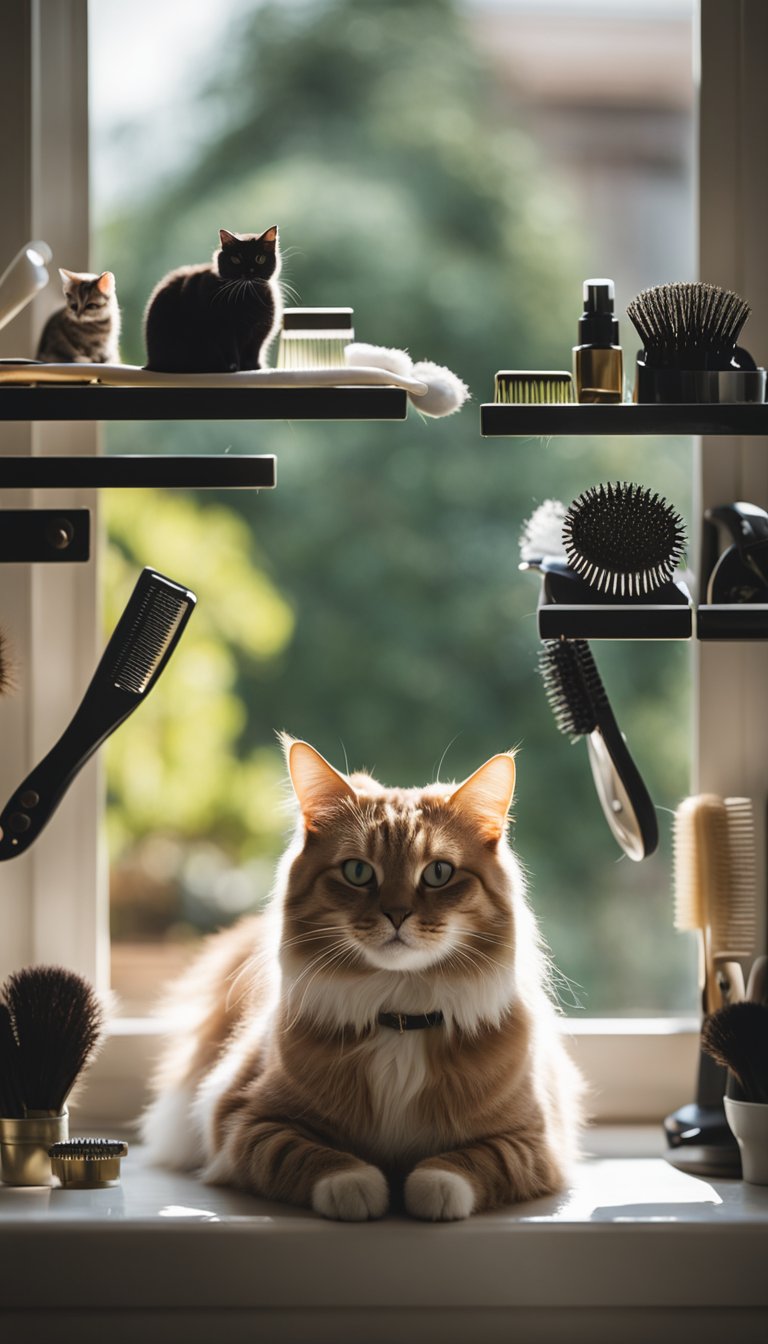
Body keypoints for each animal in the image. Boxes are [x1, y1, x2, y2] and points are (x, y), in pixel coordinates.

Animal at [141, 741, 583, 1225]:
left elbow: (464, 1164)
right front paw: (356, 1185)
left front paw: (430, 1188)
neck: (401, 1020)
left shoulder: (533, 1140)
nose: (396, 913)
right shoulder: (244, 1121)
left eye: (438, 873)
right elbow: (305, 1154)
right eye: (358, 872)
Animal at [143, 225, 282, 373]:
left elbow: (254, 350)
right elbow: (230, 349)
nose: (249, 272)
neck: (249, 296)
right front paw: (234, 367)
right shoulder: (222, 328)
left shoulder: (260, 332)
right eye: (236, 259)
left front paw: (252, 367)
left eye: (260, 259)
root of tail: (150, 363)